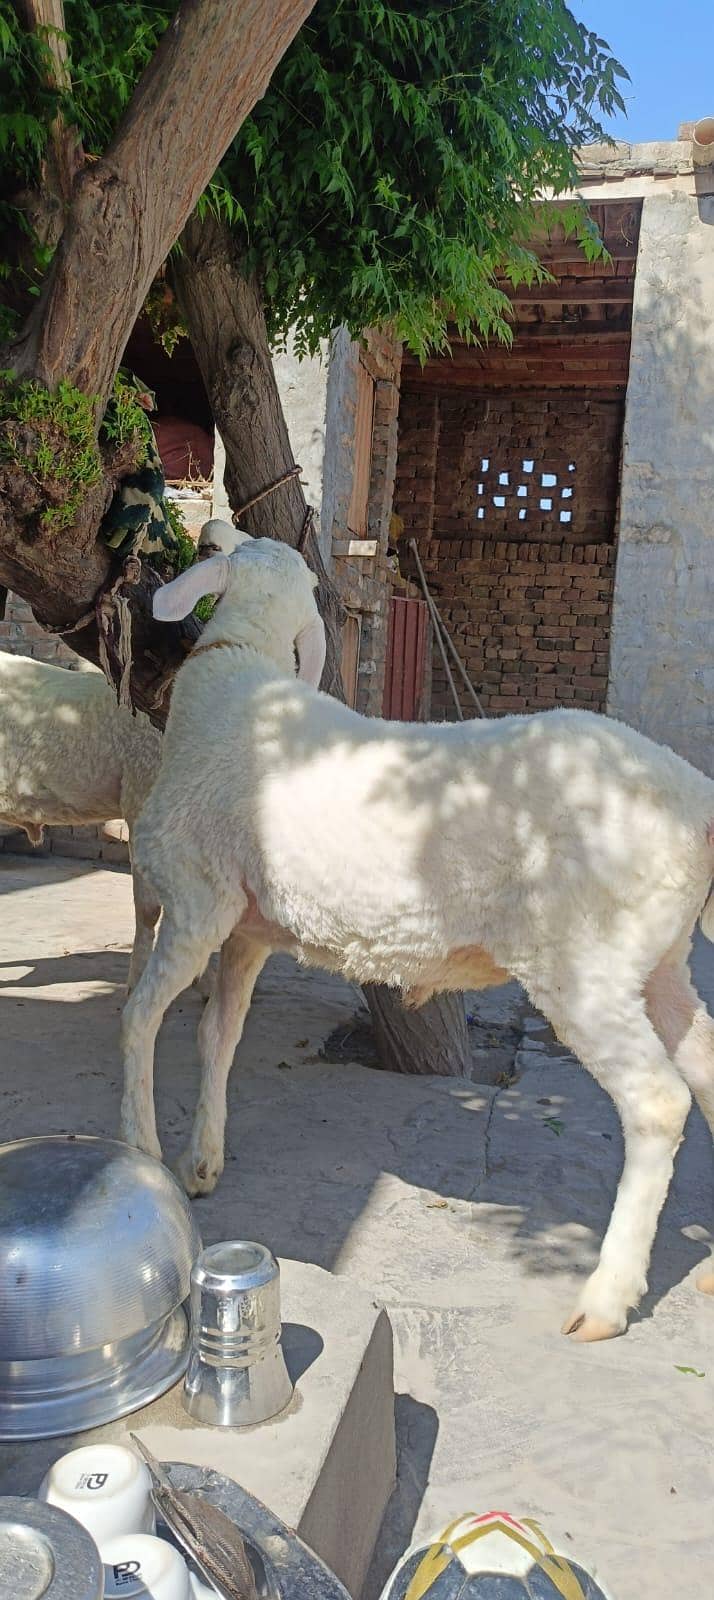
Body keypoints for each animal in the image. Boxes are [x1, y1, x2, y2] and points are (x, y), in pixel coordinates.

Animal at [121, 537, 714, 1342]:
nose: (210, 537)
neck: (237, 674)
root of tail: (698, 800)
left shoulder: (196, 899)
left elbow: (139, 1020)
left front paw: (139, 1154)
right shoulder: (248, 927)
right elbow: (218, 1036)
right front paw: (202, 1163)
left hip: (586, 961)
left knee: (657, 1102)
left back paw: (605, 1298)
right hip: (661, 957)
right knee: (706, 1061)